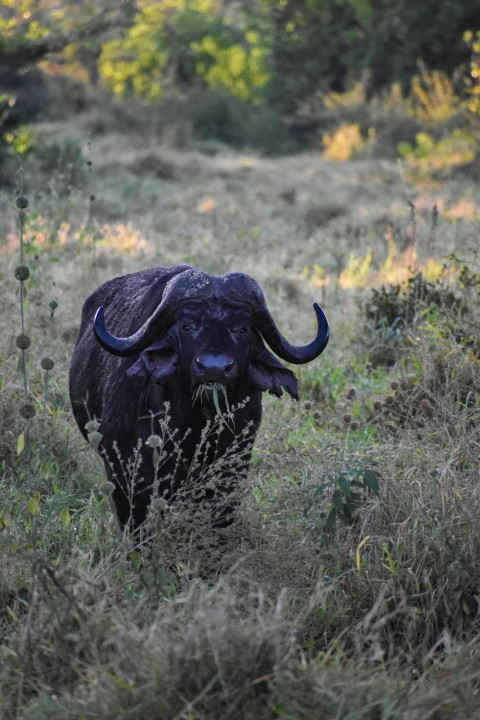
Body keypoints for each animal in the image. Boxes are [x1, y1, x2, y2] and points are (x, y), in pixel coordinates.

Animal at [69, 264, 329, 533]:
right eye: (187, 326)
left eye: (242, 328)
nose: (214, 368)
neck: (195, 423)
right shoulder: (126, 465)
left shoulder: (233, 465)